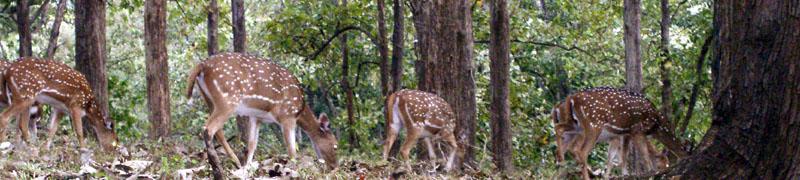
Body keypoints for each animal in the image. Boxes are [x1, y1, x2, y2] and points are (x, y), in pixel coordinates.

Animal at [186, 52, 340, 177]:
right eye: (335, 146)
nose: (335, 167)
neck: (299, 110)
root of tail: (201, 65)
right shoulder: (287, 116)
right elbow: (291, 149)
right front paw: (295, 170)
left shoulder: (256, 117)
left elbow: (252, 144)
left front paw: (248, 168)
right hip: (228, 100)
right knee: (209, 128)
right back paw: (218, 169)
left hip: (209, 100)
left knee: (217, 130)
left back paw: (235, 162)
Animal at [552, 87, 684, 179]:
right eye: (662, 166)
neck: (656, 125)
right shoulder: (635, 131)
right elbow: (642, 156)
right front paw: (646, 174)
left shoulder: (620, 135)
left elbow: (613, 158)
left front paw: (615, 175)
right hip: (593, 126)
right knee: (580, 150)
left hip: (576, 126)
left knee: (561, 136)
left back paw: (561, 168)